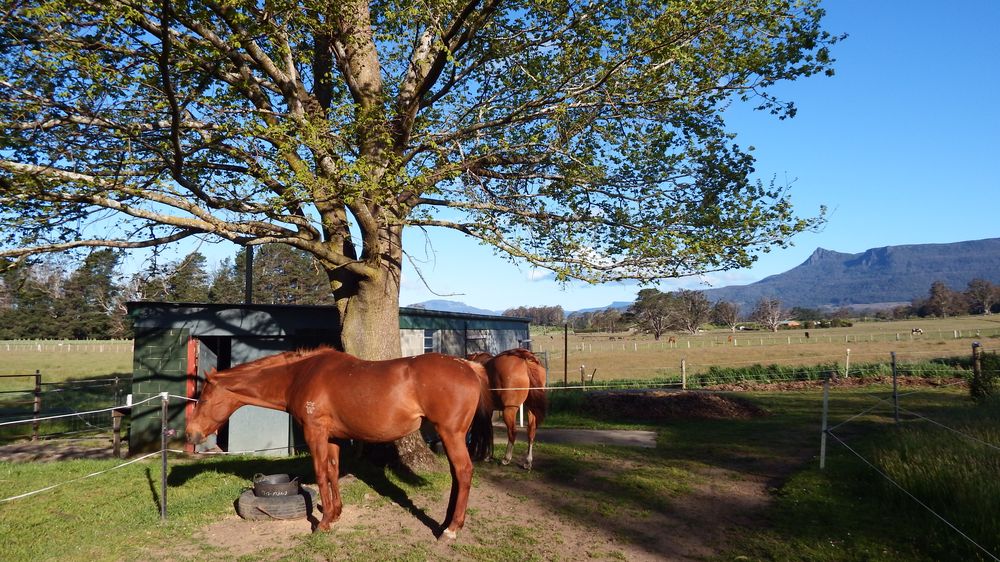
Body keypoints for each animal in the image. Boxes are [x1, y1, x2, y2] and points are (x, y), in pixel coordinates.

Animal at [186, 346, 494, 540]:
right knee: (457, 475)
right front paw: (335, 514)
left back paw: (451, 529)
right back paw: (445, 523)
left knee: (464, 472)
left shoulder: (315, 433)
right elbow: (332, 472)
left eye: (204, 398)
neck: (301, 375)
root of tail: (469, 366)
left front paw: (322, 524)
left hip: (451, 434)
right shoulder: (333, 437)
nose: (191, 434)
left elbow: (321, 474)